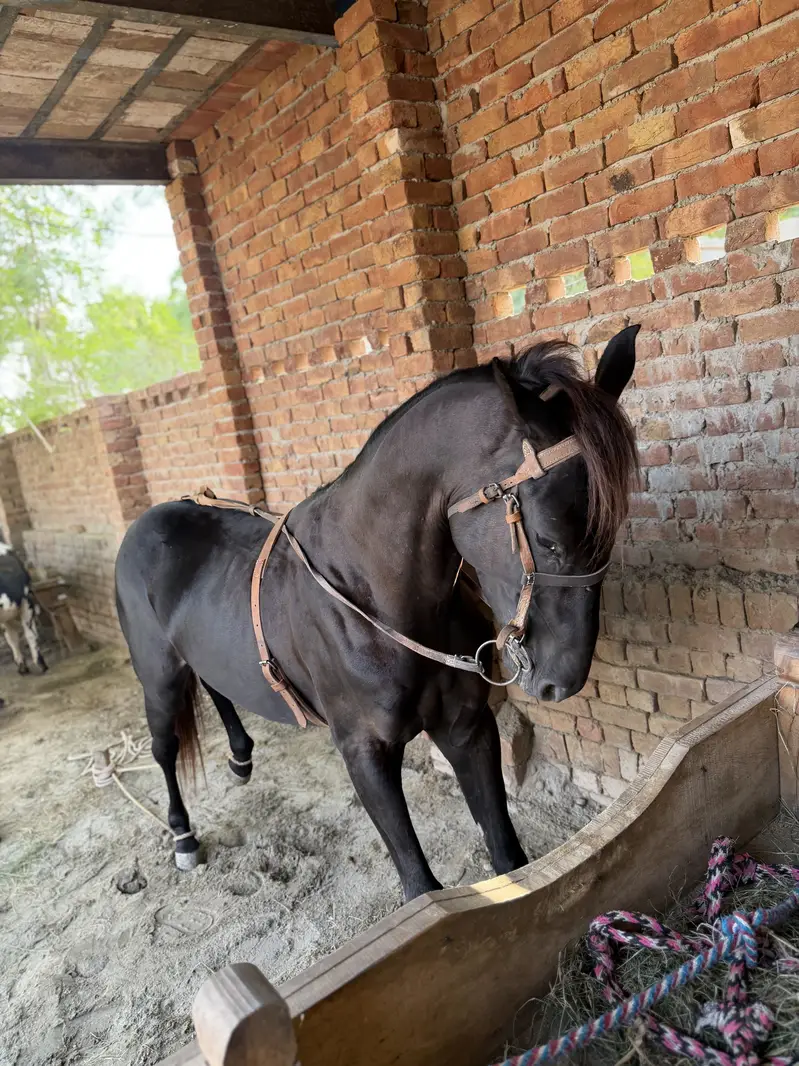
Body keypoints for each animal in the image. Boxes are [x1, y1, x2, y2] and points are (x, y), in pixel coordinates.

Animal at [115, 326, 639, 901]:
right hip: (158, 675)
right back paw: (183, 835)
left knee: (216, 686)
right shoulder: (363, 752)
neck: (375, 600)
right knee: (164, 746)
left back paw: (240, 756)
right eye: (547, 538)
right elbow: (420, 887)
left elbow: (508, 857)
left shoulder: (468, 729)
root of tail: (150, 519)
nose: (560, 681)